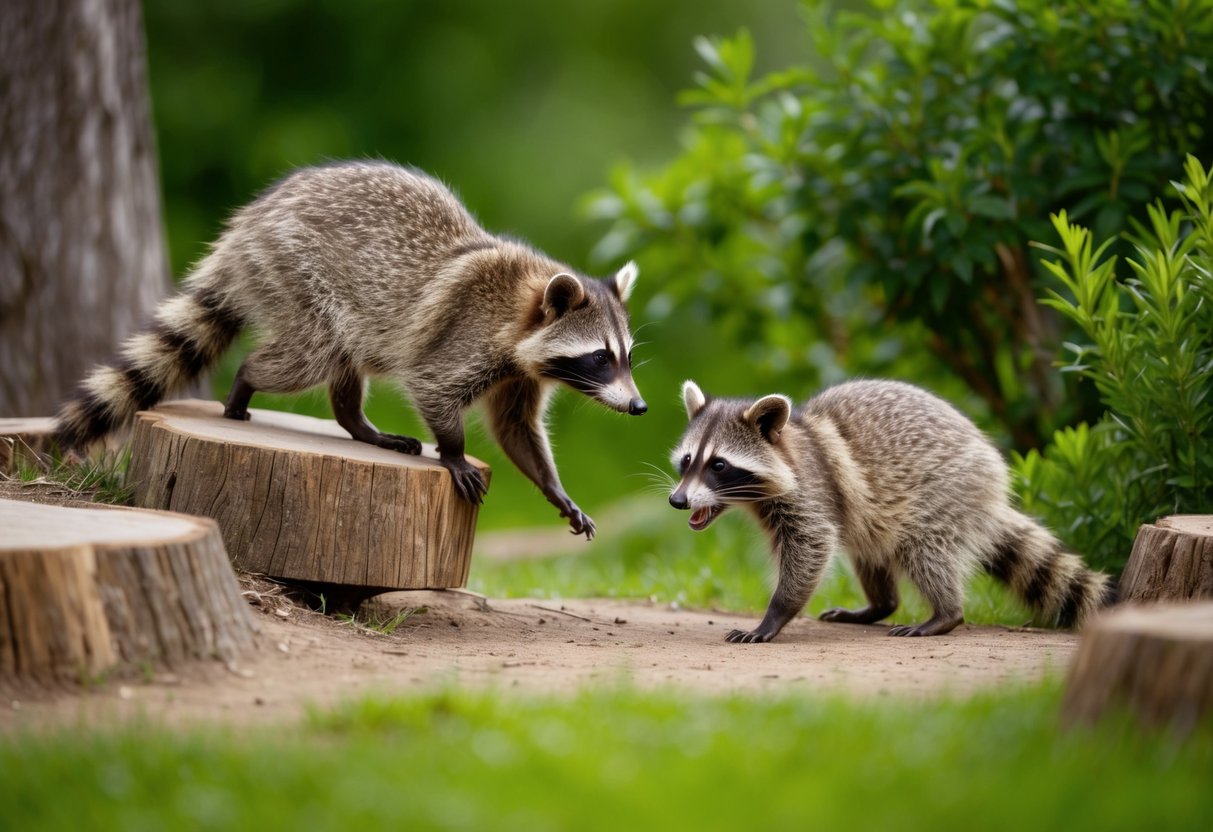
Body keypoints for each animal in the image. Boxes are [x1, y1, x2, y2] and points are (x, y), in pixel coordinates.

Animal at [55, 161, 647, 537]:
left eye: (626, 357)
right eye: (600, 358)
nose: (640, 407)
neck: (524, 304)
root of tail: (246, 226)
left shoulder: (520, 373)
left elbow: (516, 428)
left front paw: (553, 486)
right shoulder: (467, 335)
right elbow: (434, 388)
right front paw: (453, 451)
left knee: (341, 363)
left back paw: (359, 425)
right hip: (295, 269)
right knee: (309, 355)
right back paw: (247, 381)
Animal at [668, 379, 1112, 642]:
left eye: (719, 465)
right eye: (687, 461)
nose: (678, 500)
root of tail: (995, 491)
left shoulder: (812, 490)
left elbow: (812, 548)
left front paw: (775, 614)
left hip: (948, 491)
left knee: (923, 551)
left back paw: (946, 613)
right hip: (878, 515)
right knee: (870, 552)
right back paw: (879, 605)